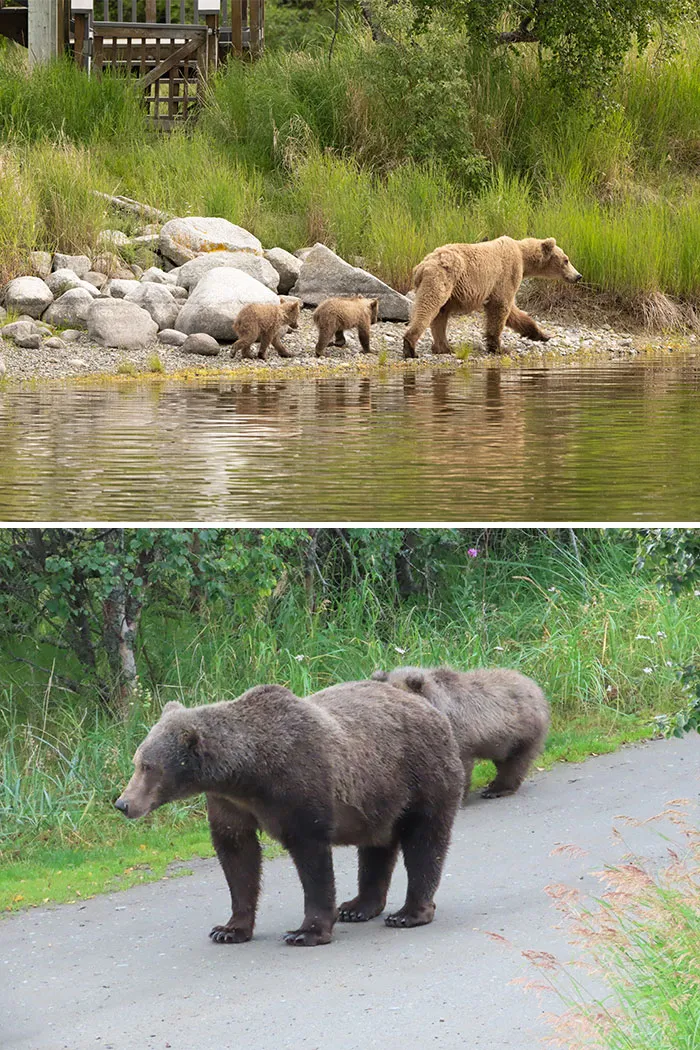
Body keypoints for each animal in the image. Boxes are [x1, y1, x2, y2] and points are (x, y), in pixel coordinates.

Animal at [114, 679, 464, 948]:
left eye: (148, 767)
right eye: (137, 761)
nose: (123, 803)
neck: (247, 774)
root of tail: (431, 709)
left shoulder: (299, 788)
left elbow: (312, 860)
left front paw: (306, 932)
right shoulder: (229, 804)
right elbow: (237, 856)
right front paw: (229, 929)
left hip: (422, 775)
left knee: (425, 840)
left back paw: (409, 913)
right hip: (378, 796)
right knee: (376, 846)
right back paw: (358, 906)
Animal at [402, 236, 582, 358]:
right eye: (566, 260)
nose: (578, 276)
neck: (523, 258)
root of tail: (421, 266)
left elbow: (515, 313)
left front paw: (542, 334)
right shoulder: (507, 274)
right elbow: (501, 307)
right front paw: (499, 347)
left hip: (446, 288)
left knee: (440, 314)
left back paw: (444, 347)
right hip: (441, 279)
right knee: (428, 306)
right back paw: (410, 346)